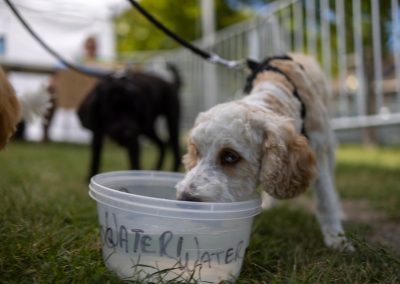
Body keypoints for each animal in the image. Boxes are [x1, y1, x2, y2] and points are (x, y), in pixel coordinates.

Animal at [176, 53, 354, 251]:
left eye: (230, 156)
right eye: (197, 152)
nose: (184, 200)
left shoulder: (318, 149)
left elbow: (325, 199)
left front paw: (337, 239)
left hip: (328, 143)